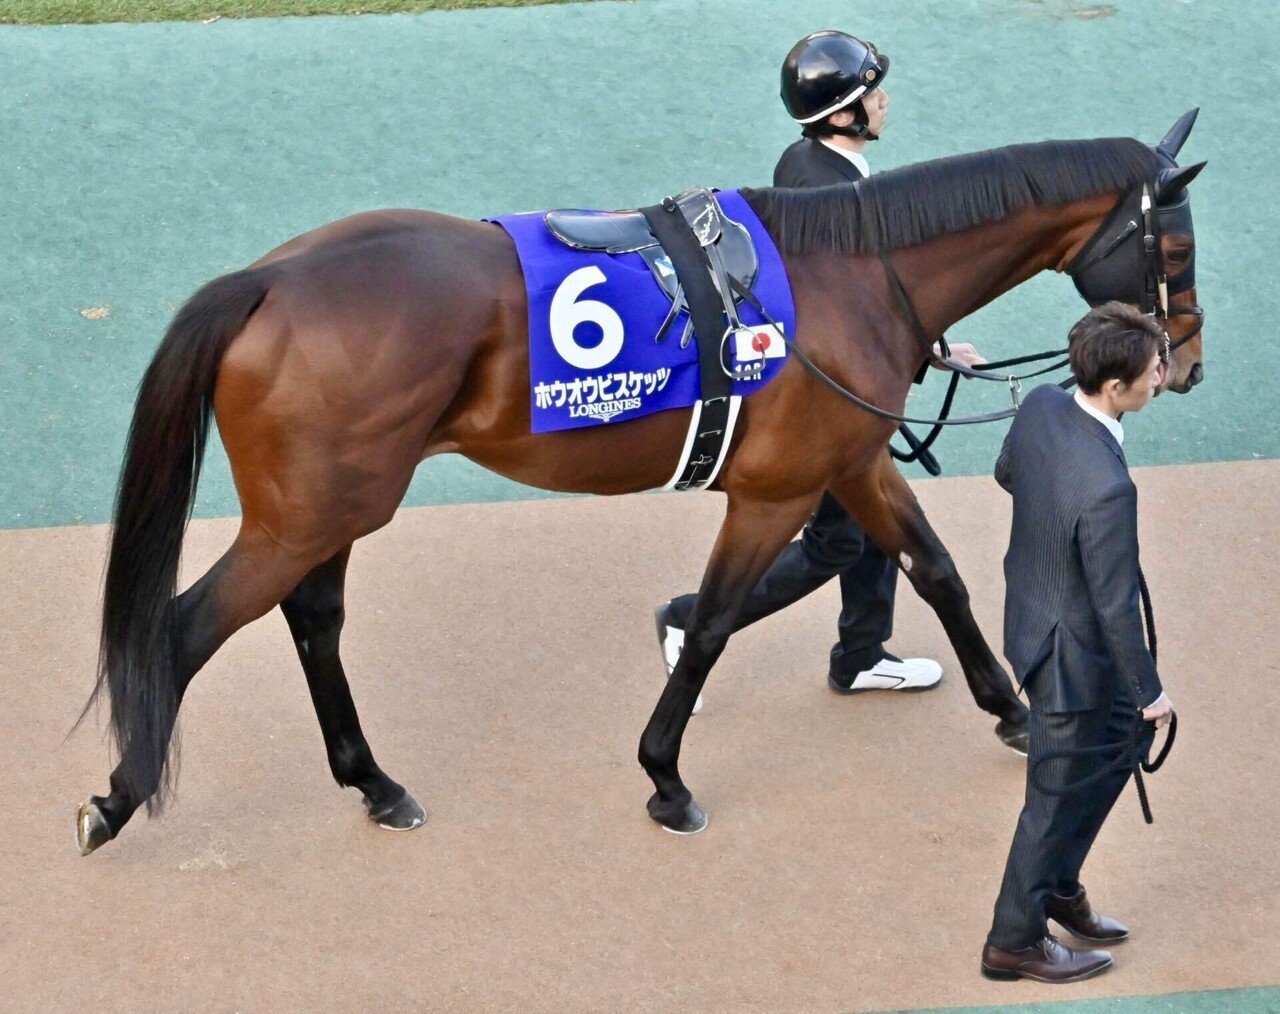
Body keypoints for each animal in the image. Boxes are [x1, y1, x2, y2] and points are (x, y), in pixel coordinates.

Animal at [75, 113, 1206, 854]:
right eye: (1173, 242)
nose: (1181, 361)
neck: (852, 275)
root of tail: (265, 280)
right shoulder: (775, 491)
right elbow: (709, 626)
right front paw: (665, 777)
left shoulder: (849, 462)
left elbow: (934, 572)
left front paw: (1010, 709)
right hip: (306, 515)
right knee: (182, 630)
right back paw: (119, 797)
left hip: (333, 507)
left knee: (312, 622)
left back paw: (375, 783)